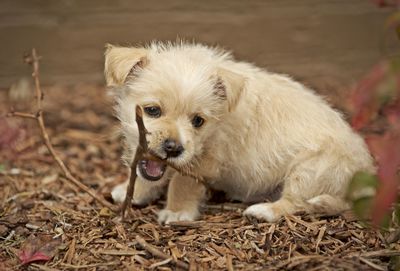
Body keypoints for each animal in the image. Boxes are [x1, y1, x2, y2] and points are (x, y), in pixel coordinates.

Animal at [104, 42, 376, 224]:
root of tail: (365, 173)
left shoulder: (203, 162)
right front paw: (133, 193)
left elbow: (182, 184)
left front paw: (177, 212)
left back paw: (264, 211)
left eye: (198, 121)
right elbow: (145, 175)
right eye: (152, 110)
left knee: (295, 203)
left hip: (309, 171)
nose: (173, 148)